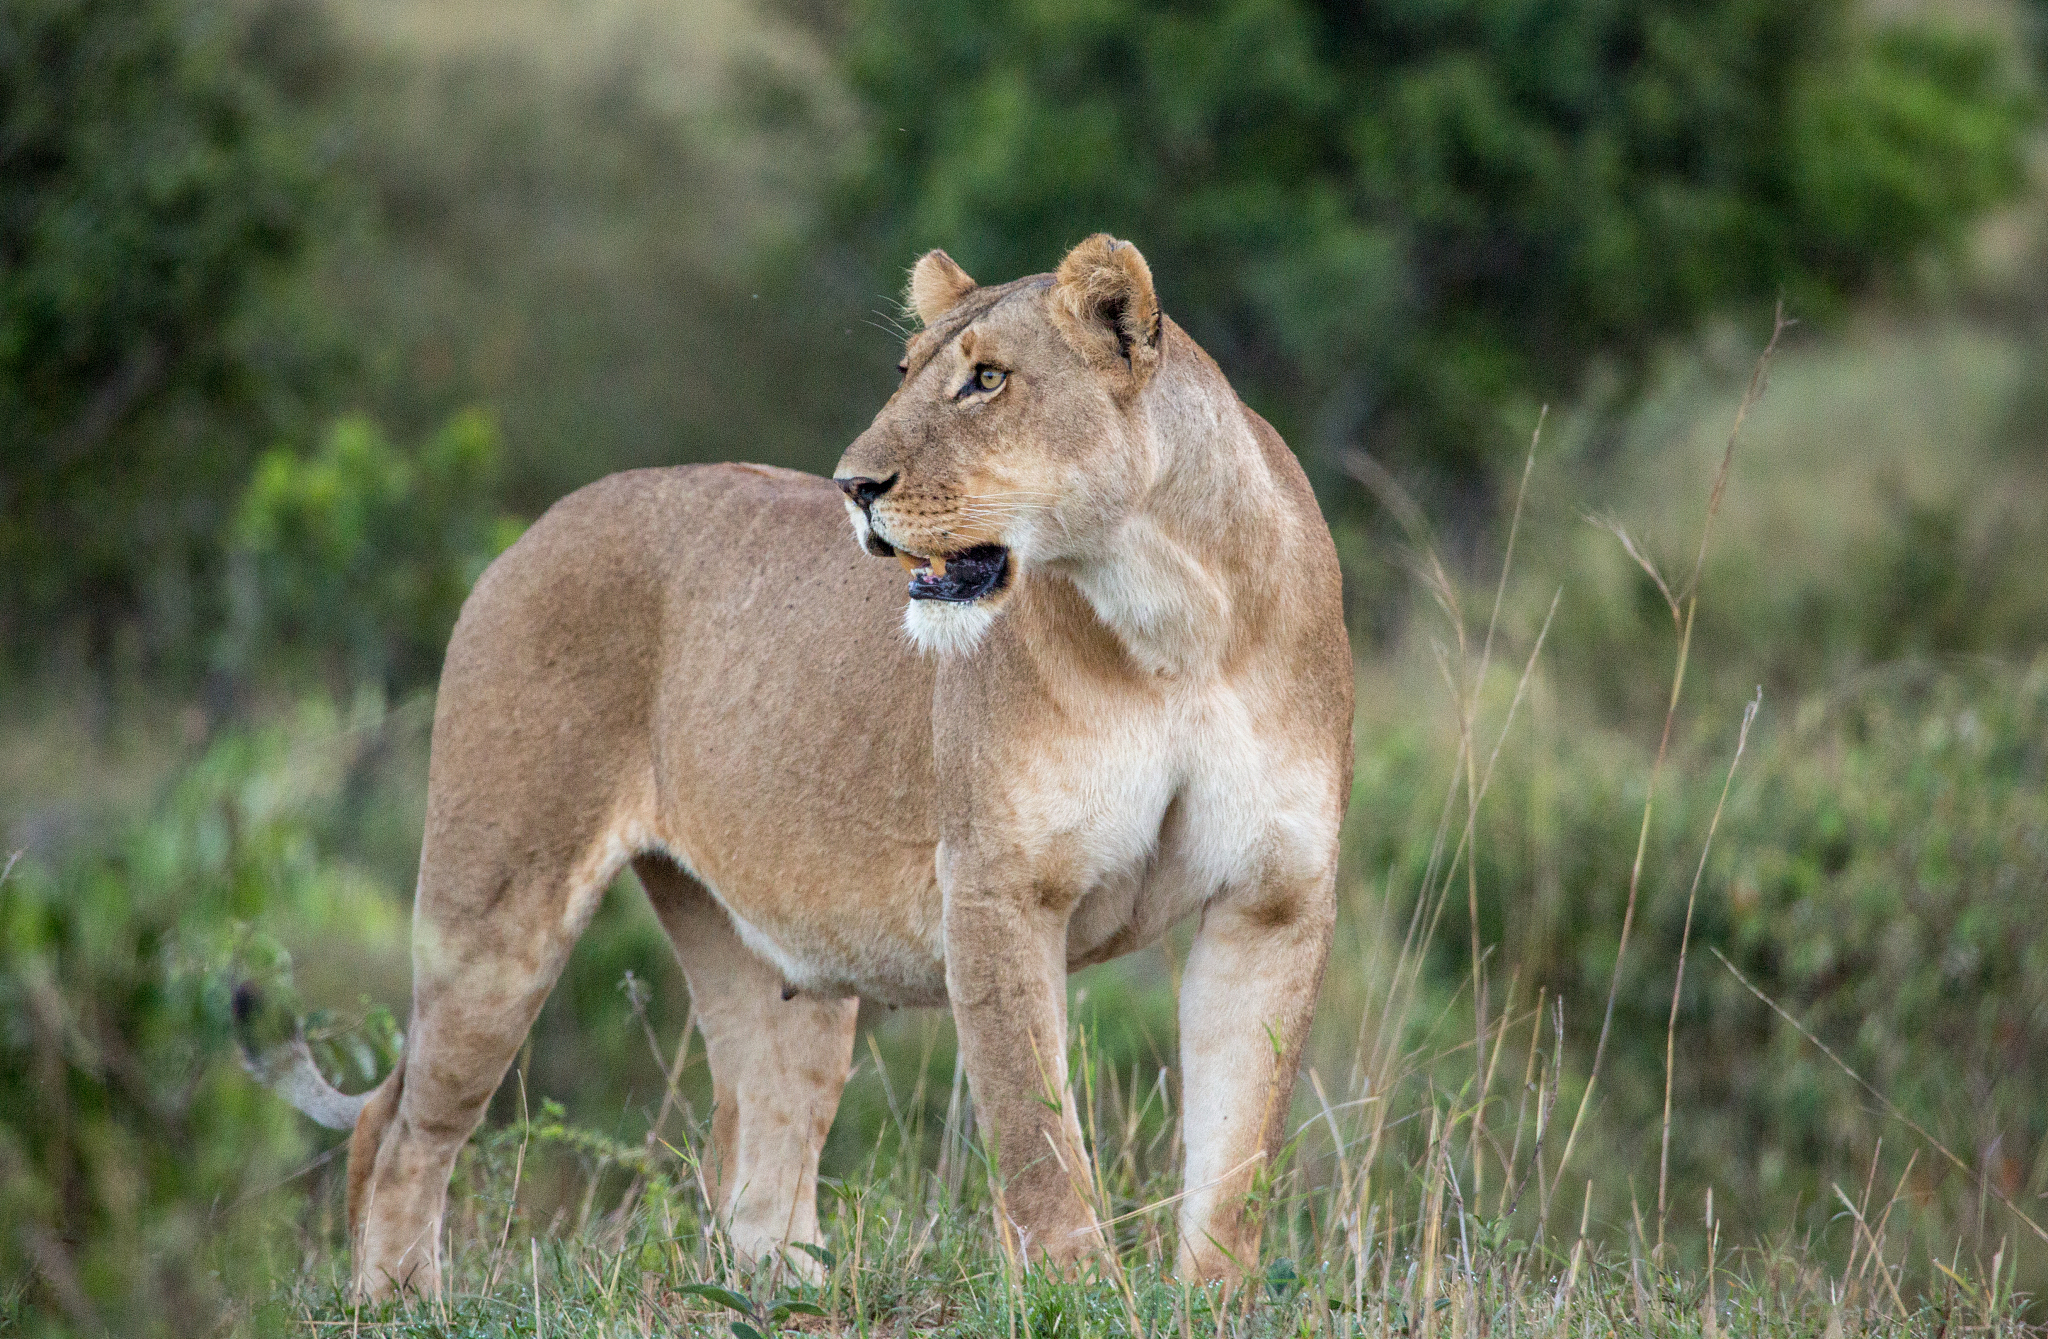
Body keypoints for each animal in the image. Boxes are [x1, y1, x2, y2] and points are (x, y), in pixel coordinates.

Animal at [250, 234, 1354, 1299]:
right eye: (905, 372)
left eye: (988, 380)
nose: (854, 488)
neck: (1175, 621)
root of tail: (537, 526)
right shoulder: (998, 887)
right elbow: (1038, 1135)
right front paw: (1078, 1297)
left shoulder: (1275, 895)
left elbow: (1238, 1149)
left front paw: (1214, 1299)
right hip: (498, 906)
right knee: (400, 1123)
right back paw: (399, 1299)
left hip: (768, 962)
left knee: (754, 1162)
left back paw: (786, 1288)